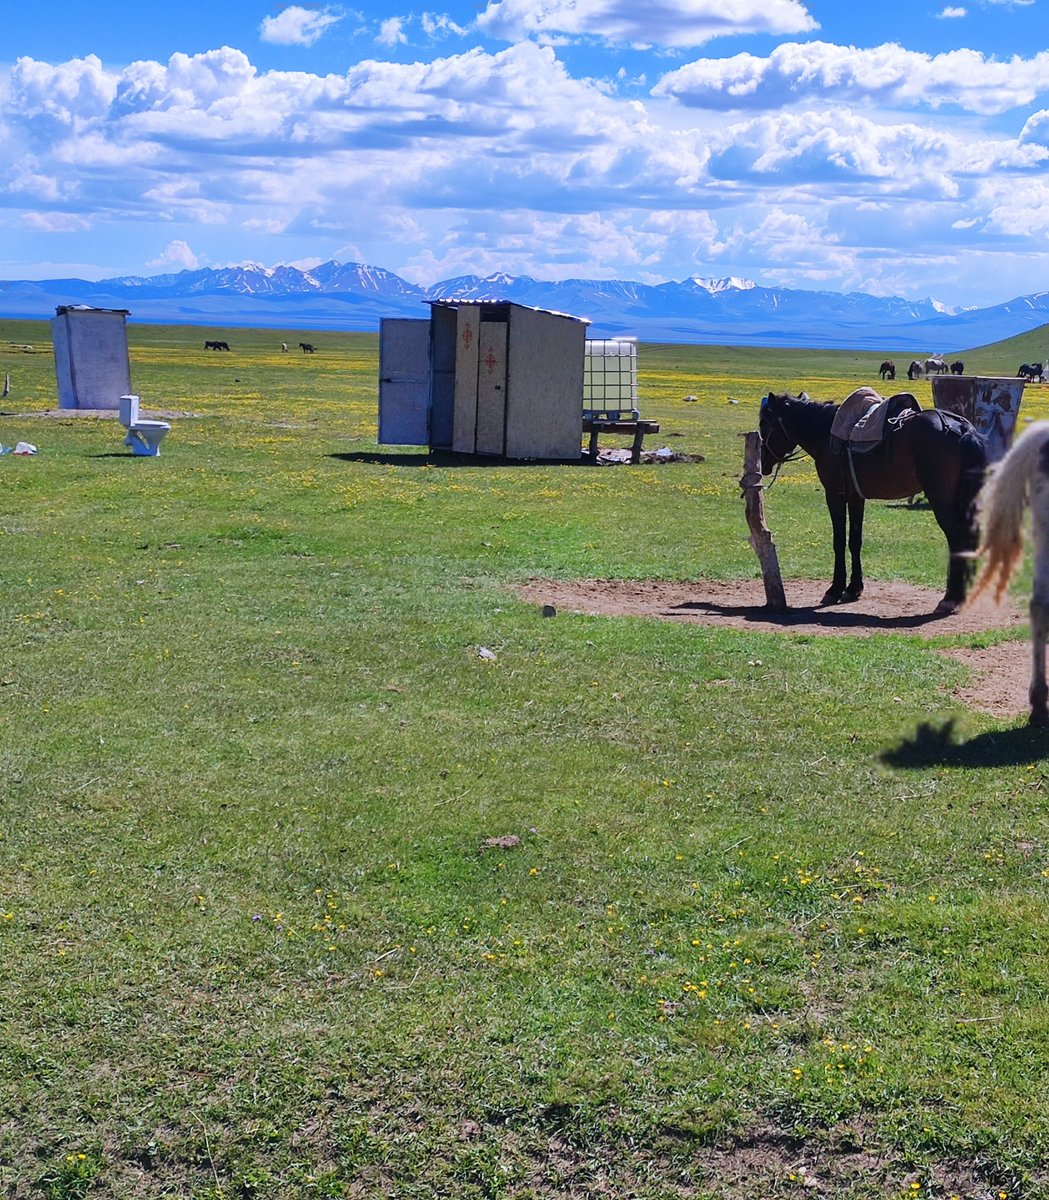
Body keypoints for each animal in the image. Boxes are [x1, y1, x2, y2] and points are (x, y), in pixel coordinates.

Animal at [760, 392, 987, 614]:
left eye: (764, 423)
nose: (762, 463)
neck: (825, 433)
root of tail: (962, 429)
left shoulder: (834, 495)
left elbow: (839, 541)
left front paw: (835, 589)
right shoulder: (855, 497)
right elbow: (855, 541)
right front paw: (853, 588)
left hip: (941, 498)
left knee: (957, 538)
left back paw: (950, 599)